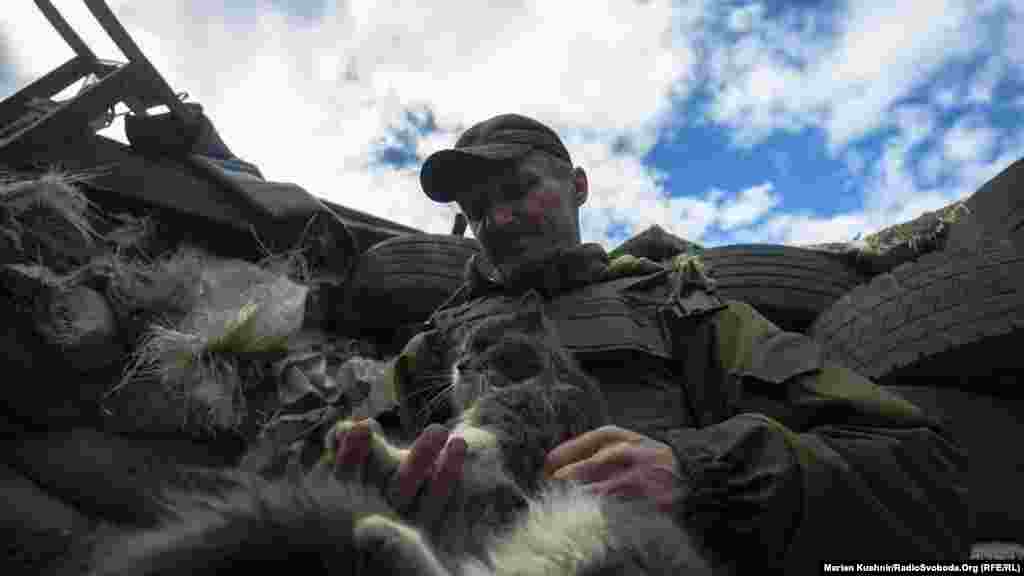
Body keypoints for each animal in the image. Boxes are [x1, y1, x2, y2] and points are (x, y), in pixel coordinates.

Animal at [88, 291, 712, 573]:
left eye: (486, 345)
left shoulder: (516, 429)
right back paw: (381, 535)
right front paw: (356, 440)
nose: (461, 365)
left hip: (603, 544)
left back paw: (382, 534)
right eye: (462, 349)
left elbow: (467, 444)